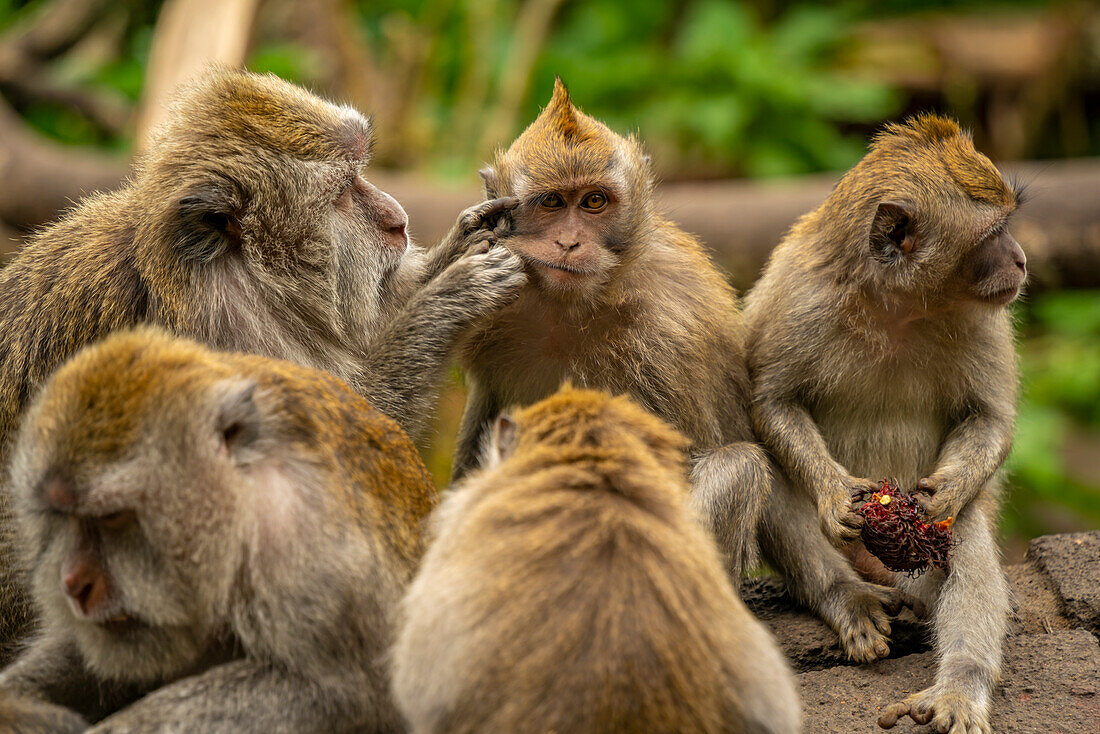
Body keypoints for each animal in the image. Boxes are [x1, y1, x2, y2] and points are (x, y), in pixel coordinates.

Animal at [0, 67, 523, 655]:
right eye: (343, 193)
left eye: (362, 174)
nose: (398, 219)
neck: (227, 283)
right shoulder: (220, 355)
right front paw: (450, 298)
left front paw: (463, 242)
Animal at [0, 330, 437, 730]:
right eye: (62, 516)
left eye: (111, 517)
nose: (74, 583)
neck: (244, 510)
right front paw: (19, 704)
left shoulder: (309, 548)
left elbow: (337, 693)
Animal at [451, 80, 770, 581]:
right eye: (552, 202)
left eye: (594, 201)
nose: (569, 242)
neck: (575, 305)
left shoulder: (670, 326)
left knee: (737, 468)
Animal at [743, 114, 1025, 734]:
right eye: (993, 233)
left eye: (1008, 226)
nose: (1020, 259)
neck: (899, 302)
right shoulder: (800, 297)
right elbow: (772, 403)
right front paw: (833, 493)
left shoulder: (986, 314)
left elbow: (990, 418)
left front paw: (947, 494)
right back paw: (848, 599)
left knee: (964, 534)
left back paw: (960, 686)